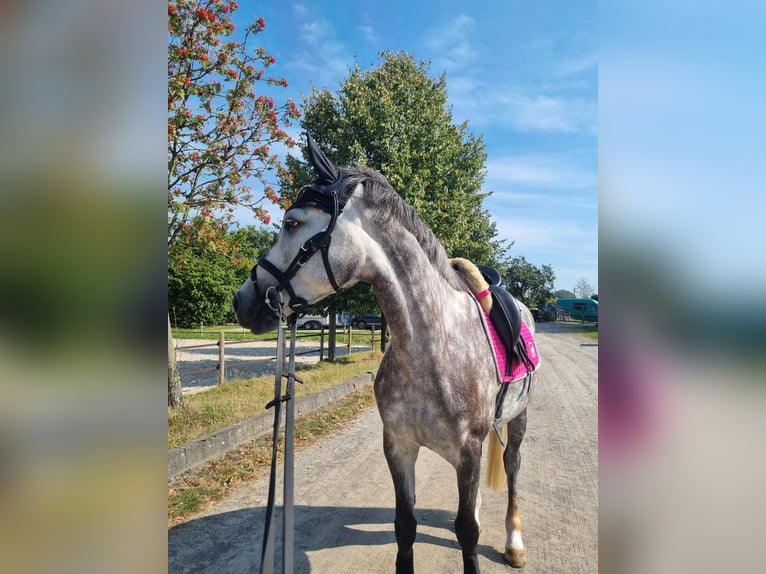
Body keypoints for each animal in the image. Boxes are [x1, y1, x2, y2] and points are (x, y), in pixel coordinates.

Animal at [234, 136, 540, 574]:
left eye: (291, 223)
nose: (242, 301)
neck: (430, 348)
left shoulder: (467, 451)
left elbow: (466, 533)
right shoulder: (398, 446)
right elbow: (405, 527)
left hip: (519, 419)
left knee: (512, 468)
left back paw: (514, 543)